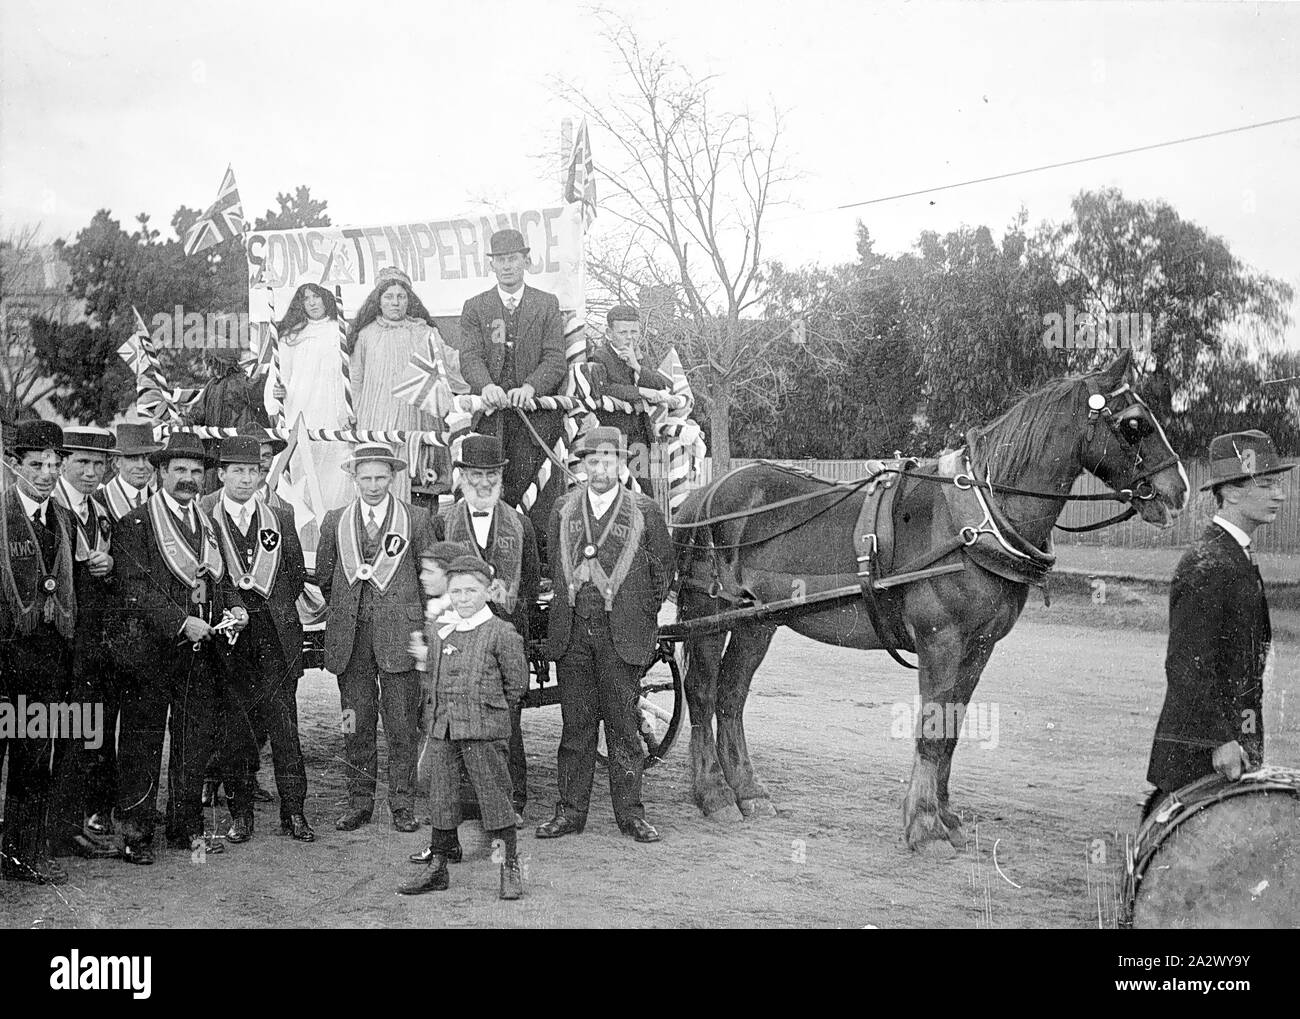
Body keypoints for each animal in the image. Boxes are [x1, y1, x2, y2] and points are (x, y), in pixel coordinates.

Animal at [676, 353, 1190, 852]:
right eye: (1134, 425)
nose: (1179, 488)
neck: (977, 522)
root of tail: (706, 492)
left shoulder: (979, 647)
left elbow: (952, 730)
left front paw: (946, 817)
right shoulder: (941, 641)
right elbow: (931, 729)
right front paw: (925, 826)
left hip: (757, 622)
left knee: (731, 695)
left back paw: (748, 791)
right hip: (709, 614)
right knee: (702, 692)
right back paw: (714, 793)